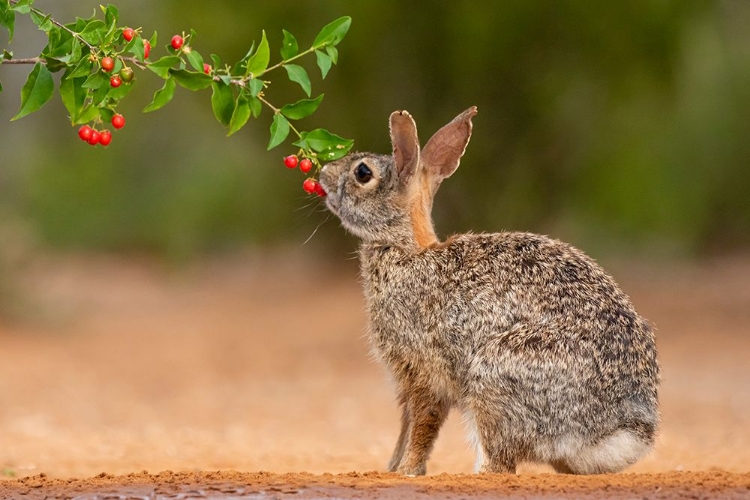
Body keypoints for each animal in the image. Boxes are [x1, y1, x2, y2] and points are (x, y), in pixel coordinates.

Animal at [318, 107, 656, 474]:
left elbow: (422, 426)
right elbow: (404, 427)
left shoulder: (425, 374)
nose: (322, 174)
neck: (405, 248)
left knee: (499, 464)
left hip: (495, 377)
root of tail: (614, 431)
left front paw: (407, 471)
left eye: (362, 172)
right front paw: (391, 468)